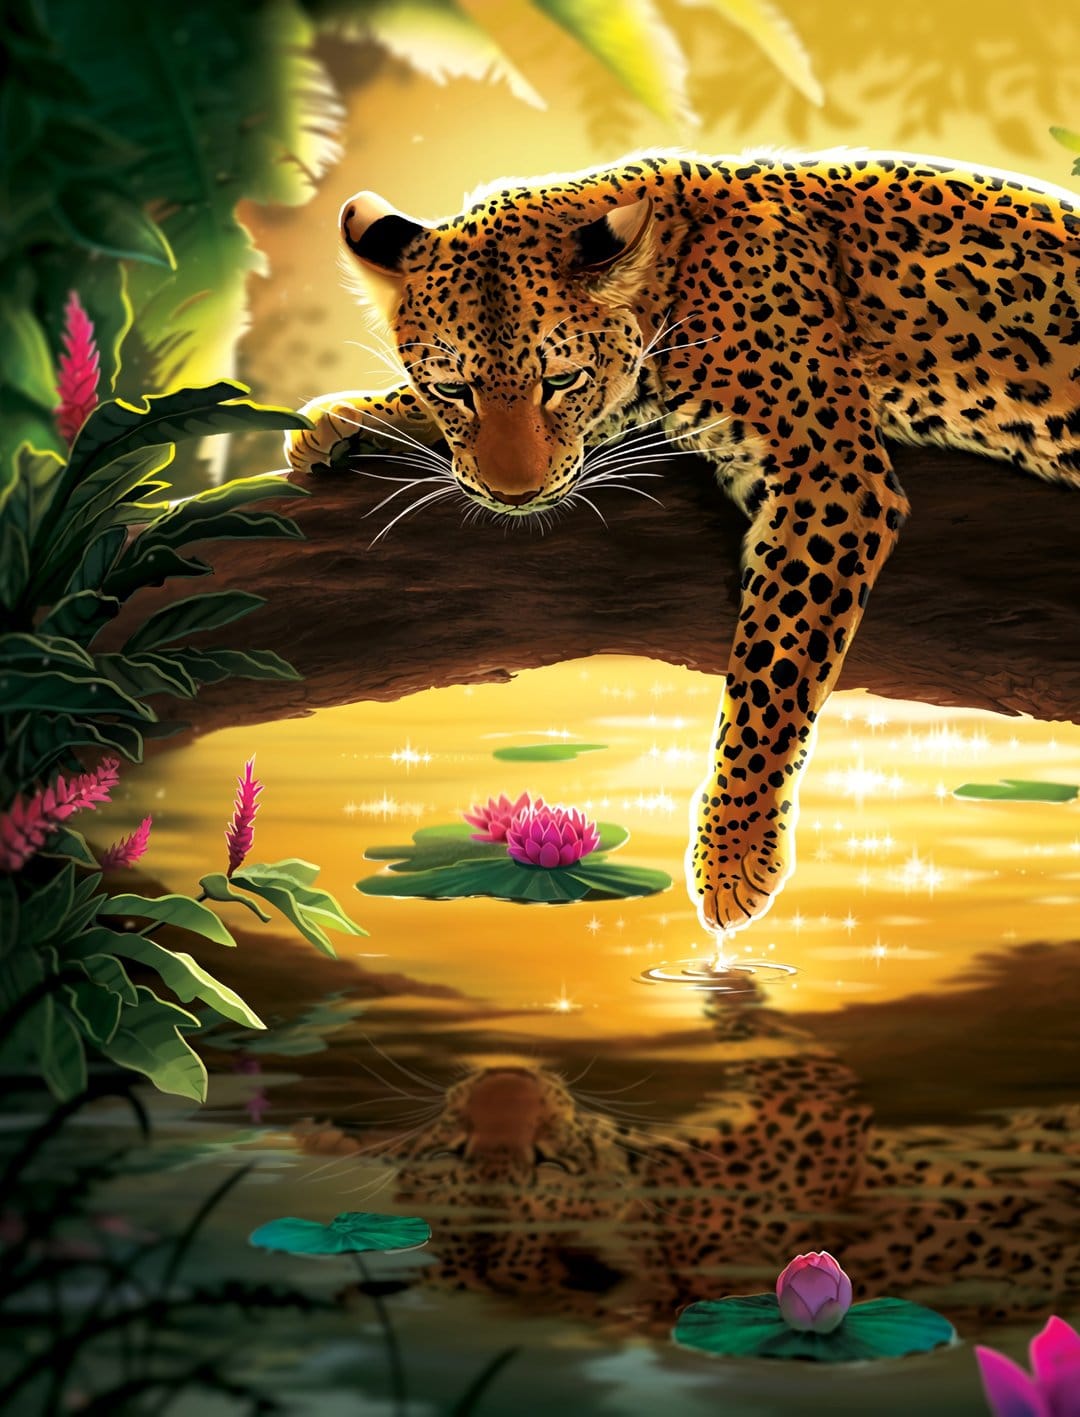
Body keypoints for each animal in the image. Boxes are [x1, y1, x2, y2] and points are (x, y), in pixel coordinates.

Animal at [285, 148, 1080, 942]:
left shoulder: (829, 476)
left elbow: (772, 669)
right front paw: (344, 417)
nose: (514, 494)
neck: (675, 283)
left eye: (561, 379)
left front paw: (733, 852)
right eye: (454, 389)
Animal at [295, 1001, 1080, 1334]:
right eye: (546, 1166)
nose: (506, 1082)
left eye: (442, 1154)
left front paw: (319, 1136)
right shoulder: (816, 1115)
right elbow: (766, 1032)